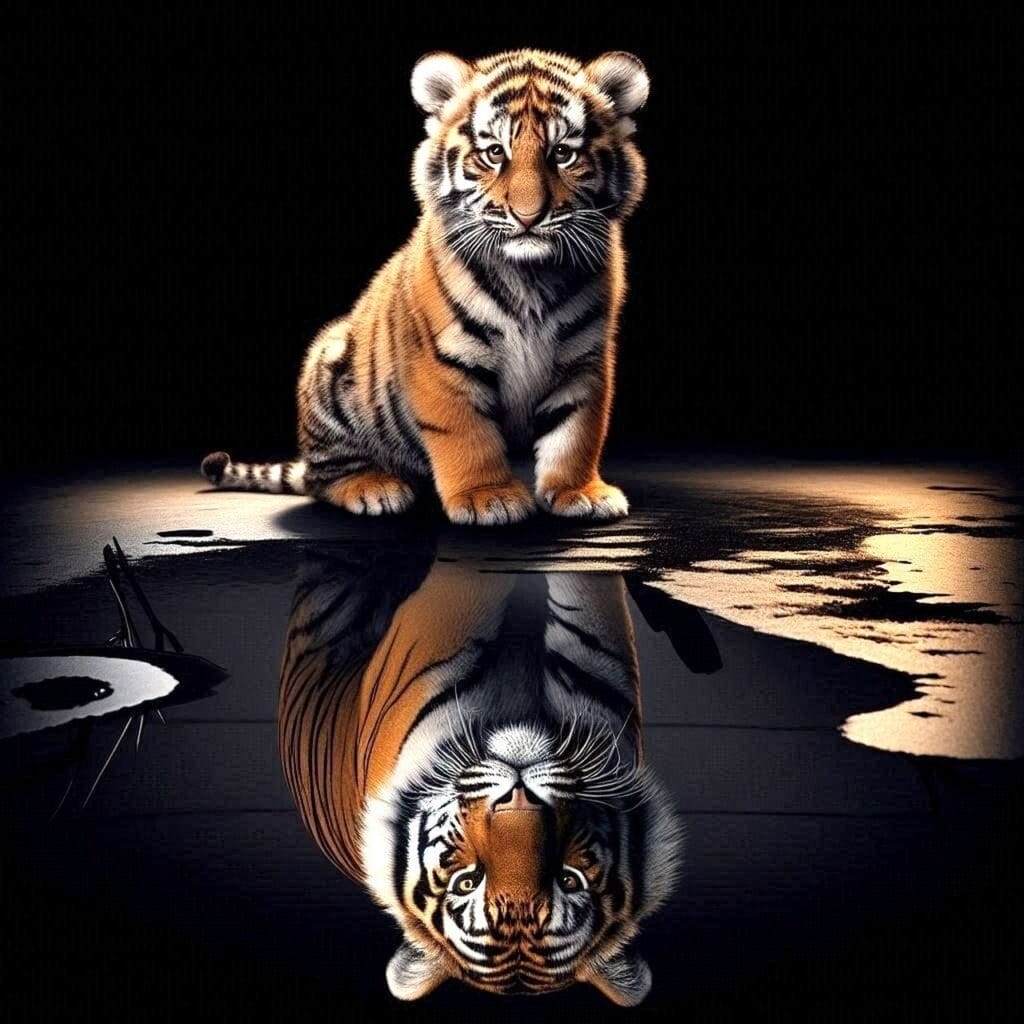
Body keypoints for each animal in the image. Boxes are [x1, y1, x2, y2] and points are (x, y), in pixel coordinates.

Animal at [201, 48, 650, 525]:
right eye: (494, 153)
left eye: (563, 153)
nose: (528, 217)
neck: (530, 274)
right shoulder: (441, 361)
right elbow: (467, 435)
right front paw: (488, 497)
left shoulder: (584, 360)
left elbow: (575, 434)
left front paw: (578, 492)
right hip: (328, 362)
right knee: (326, 474)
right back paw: (376, 487)